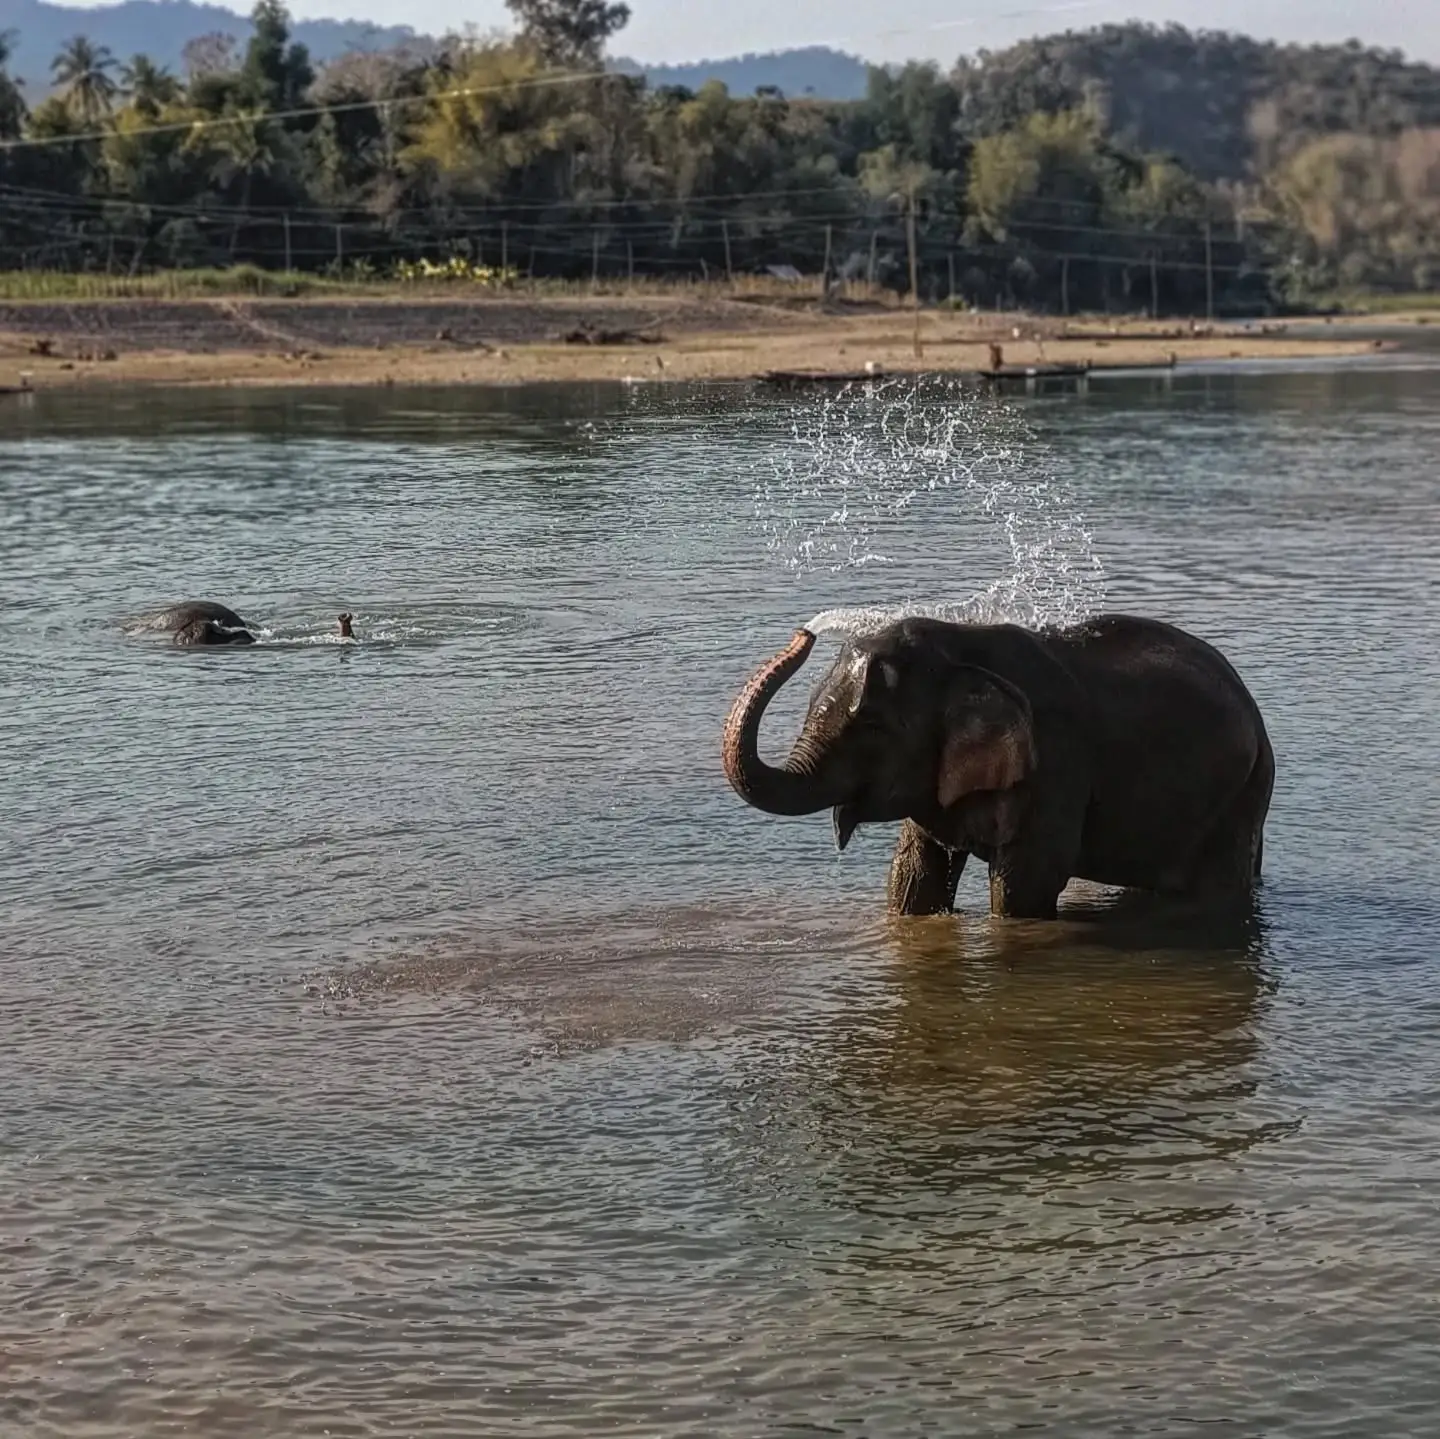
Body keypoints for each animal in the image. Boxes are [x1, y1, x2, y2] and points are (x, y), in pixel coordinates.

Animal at [721, 614, 1274, 920]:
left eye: (872, 725)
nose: (804, 631)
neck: (959, 647)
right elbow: (914, 876)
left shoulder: (1058, 763)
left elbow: (1025, 885)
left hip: (1244, 791)